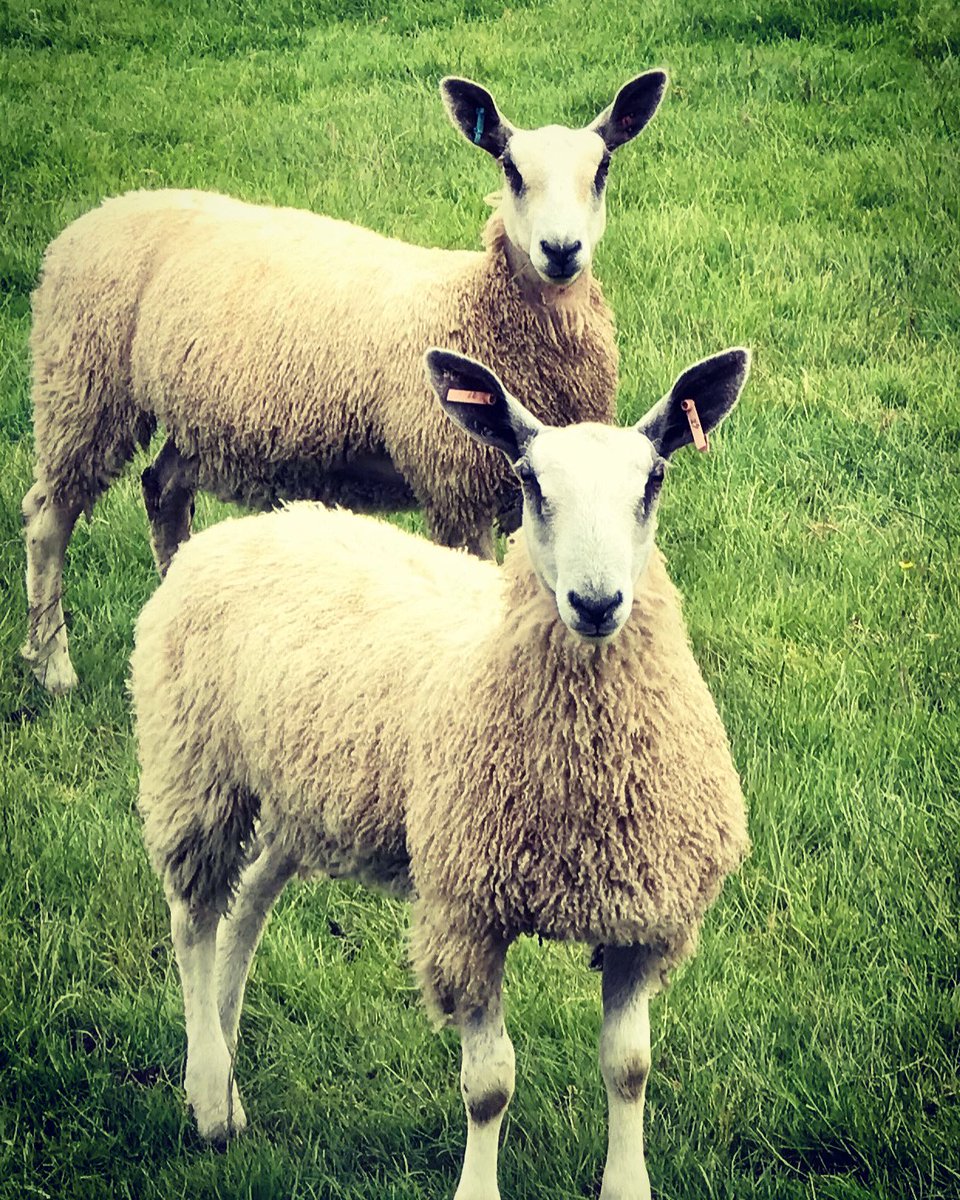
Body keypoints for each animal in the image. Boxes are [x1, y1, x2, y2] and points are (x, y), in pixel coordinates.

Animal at [21, 69, 668, 695]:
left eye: (602, 169)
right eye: (510, 169)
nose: (560, 250)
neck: (476, 305)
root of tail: (94, 215)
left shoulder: (518, 492)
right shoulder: (453, 485)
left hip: (198, 417)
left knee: (162, 490)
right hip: (82, 385)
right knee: (49, 517)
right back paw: (54, 669)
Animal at [132, 343, 751, 1199]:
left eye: (654, 478)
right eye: (528, 480)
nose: (596, 603)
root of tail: (246, 529)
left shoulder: (642, 920)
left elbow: (629, 1069)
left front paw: (627, 1184)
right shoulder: (466, 914)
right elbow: (489, 1085)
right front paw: (477, 1187)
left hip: (304, 795)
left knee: (246, 903)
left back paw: (224, 1061)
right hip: (196, 767)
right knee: (192, 918)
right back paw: (207, 1099)